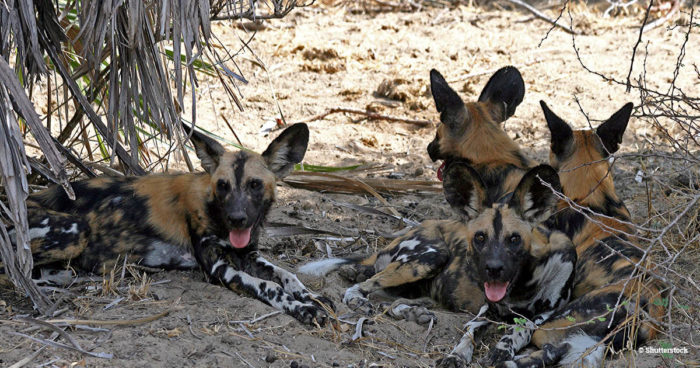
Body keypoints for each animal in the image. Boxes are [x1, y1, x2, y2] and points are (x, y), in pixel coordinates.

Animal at [2, 123, 330, 324]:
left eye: (254, 185)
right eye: (223, 185)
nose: (237, 218)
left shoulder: (247, 253)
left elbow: (286, 275)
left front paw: (311, 296)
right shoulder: (220, 269)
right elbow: (268, 286)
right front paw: (302, 308)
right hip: (74, 232)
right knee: (17, 269)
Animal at [298, 163, 576, 366]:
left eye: (514, 239)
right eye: (480, 237)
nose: (493, 269)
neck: (521, 288)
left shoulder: (545, 314)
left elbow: (521, 328)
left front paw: (502, 348)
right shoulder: (486, 310)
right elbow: (469, 333)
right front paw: (457, 355)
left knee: (390, 300)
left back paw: (414, 312)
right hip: (431, 257)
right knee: (361, 287)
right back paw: (363, 300)